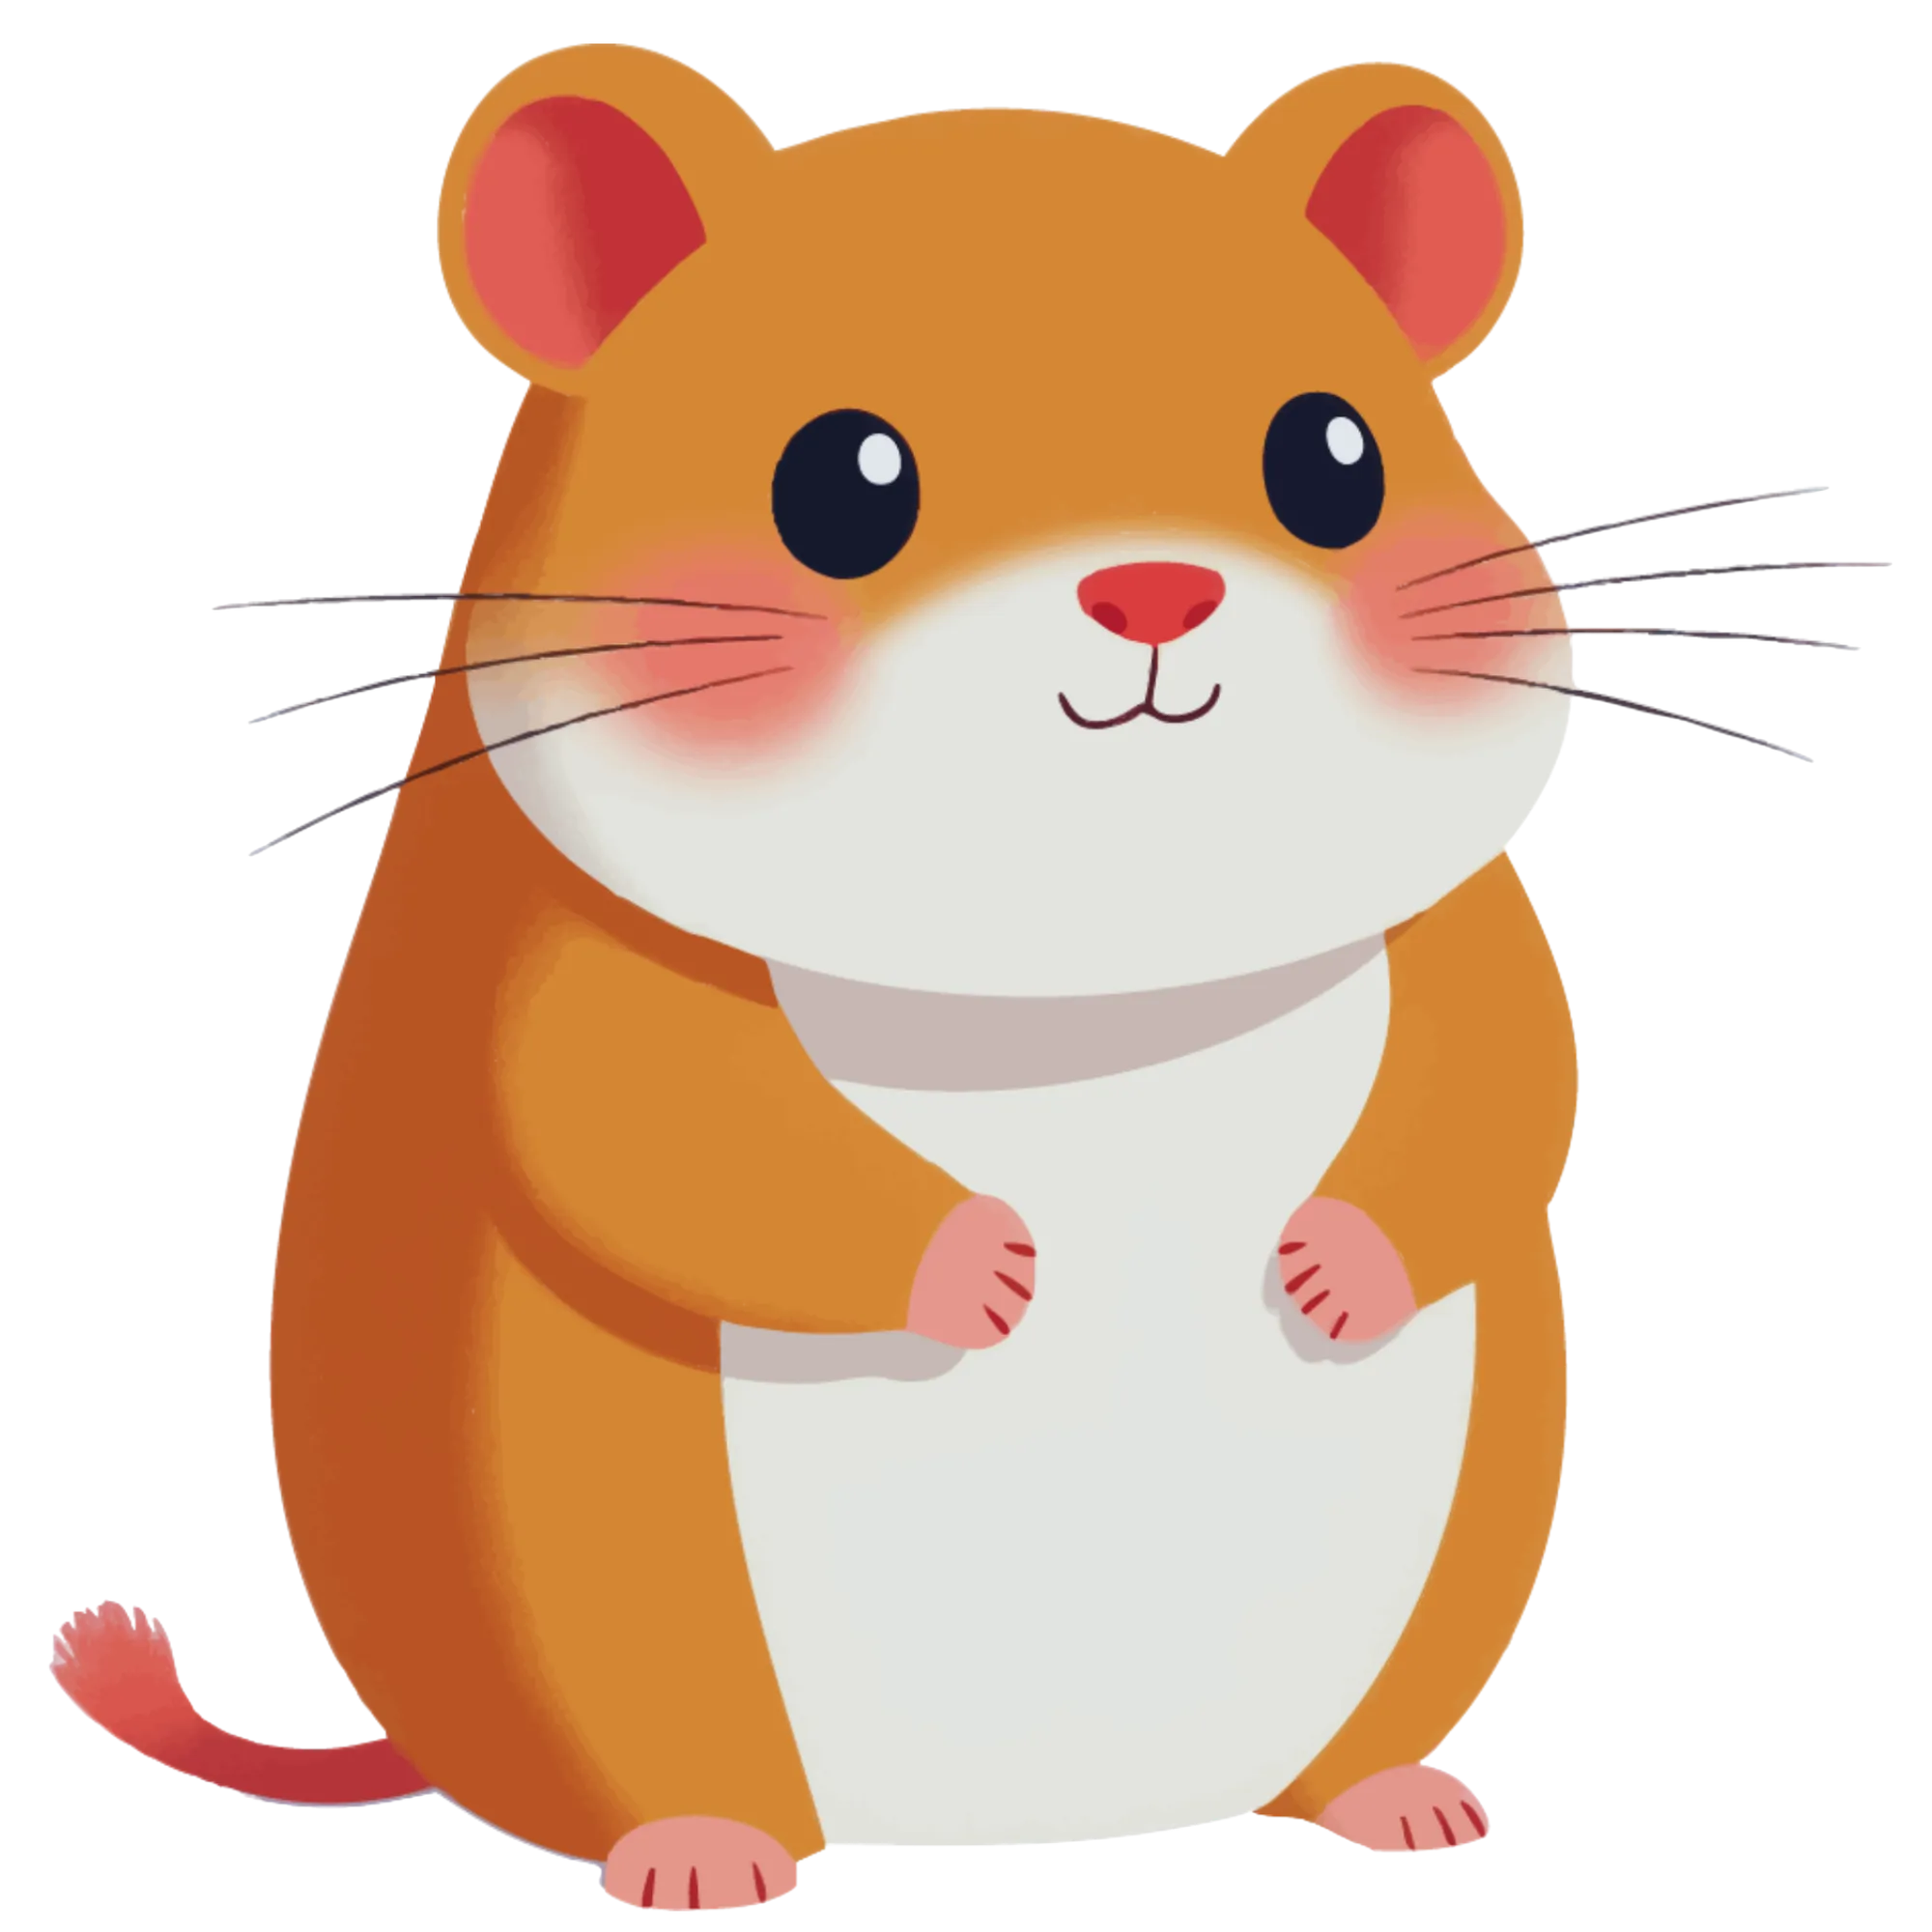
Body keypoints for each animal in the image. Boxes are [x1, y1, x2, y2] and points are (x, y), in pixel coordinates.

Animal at [55, 46, 1585, 1904]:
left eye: (1338, 457)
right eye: (843, 486)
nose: (1157, 588)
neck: (1077, 976)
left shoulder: (1459, 938)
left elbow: (1514, 1079)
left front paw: (1334, 1267)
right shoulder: (594, 991)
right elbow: (637, 1135)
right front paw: (986, 1271)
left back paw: (1400, 1797)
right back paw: (702, 1851)